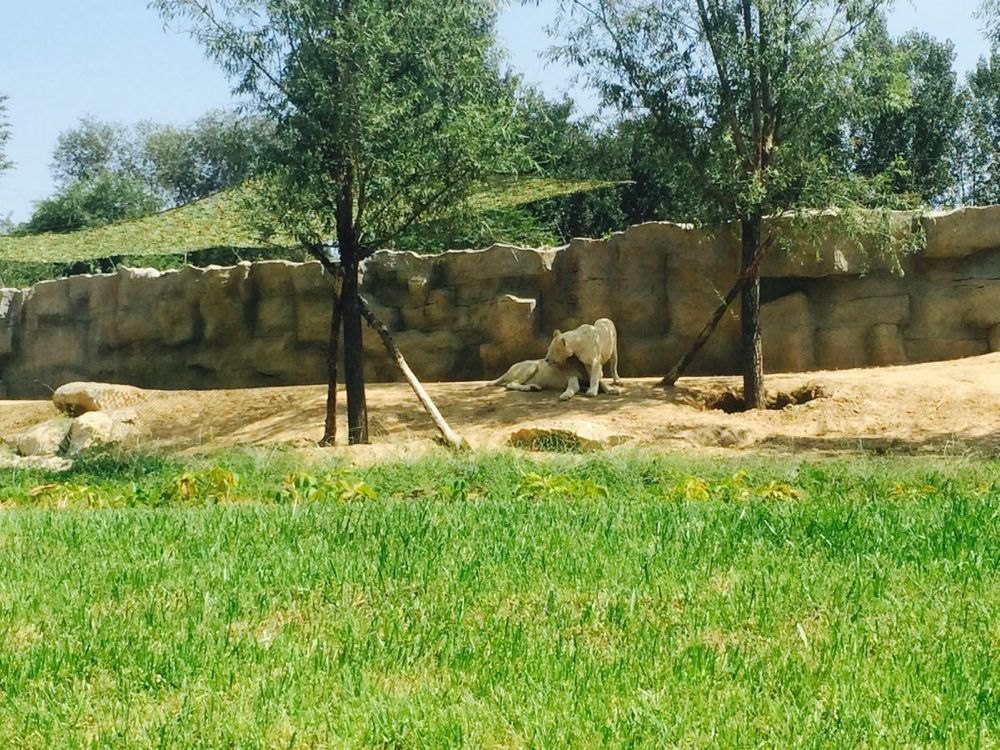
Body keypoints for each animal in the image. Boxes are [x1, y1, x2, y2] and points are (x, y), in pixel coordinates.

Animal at [482, 360, 620, 402]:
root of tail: (508, 369)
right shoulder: (571, 376)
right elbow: (573, 385)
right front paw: (566, 395)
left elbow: (601, 383)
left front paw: (613, 390)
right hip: (533, 365)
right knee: (511, 384)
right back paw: (529, 388)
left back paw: (534, 387)